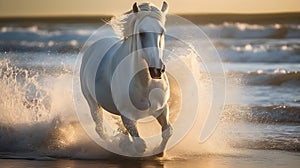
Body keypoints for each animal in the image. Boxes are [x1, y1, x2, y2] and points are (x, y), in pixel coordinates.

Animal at [79, 1, 172, 156]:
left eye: (162, 32)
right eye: (141, 33)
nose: (157, 70)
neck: (144, 83)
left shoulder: (162, 109)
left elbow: (168, 132)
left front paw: (159, 152)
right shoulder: (127, 115)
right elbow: (140, 144)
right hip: (92, 103)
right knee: (100, 129)